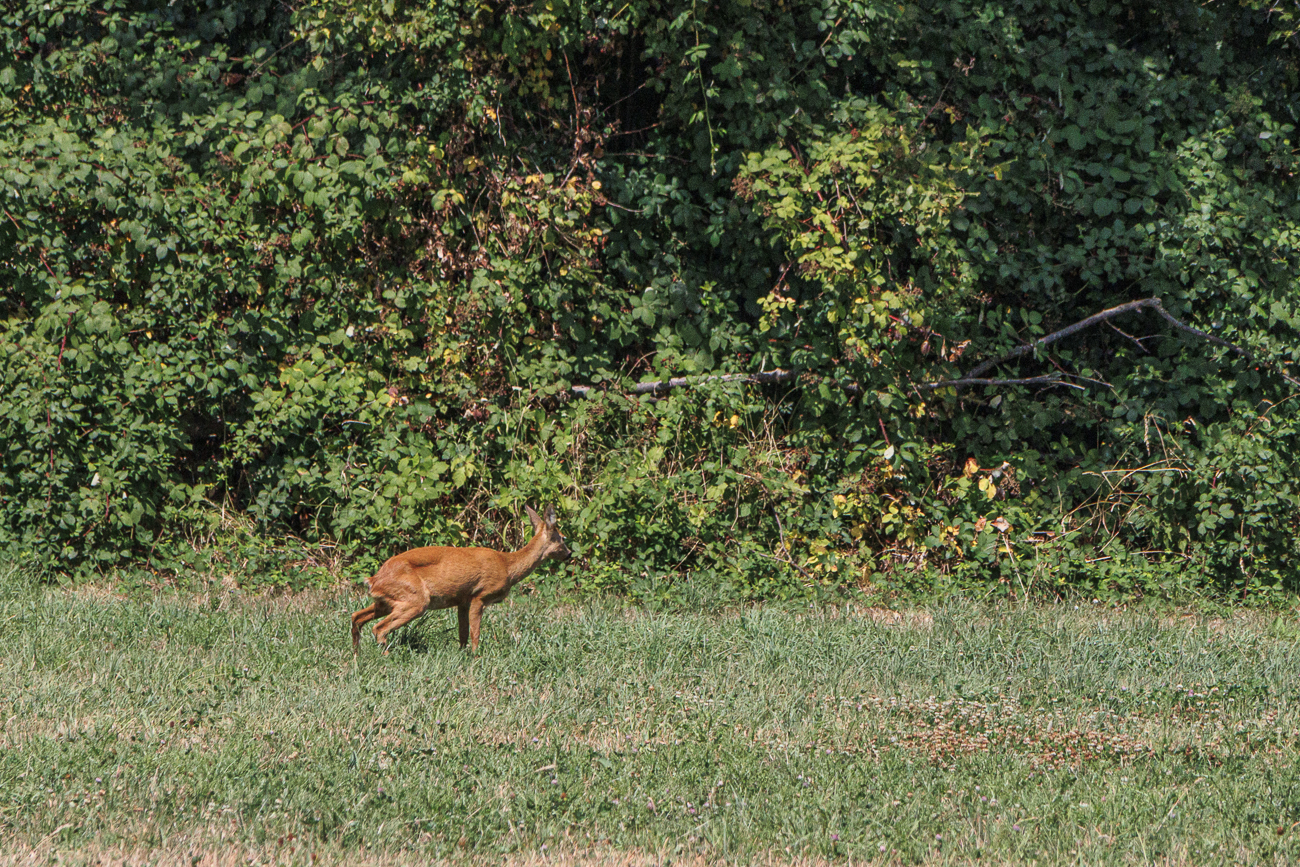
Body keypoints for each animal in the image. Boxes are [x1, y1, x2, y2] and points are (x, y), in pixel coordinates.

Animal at [351, 505, 570, 655]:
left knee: (357, 617)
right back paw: (388, 655)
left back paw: (357, 655)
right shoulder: (479, 595)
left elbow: (463, 633)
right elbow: (475, 633)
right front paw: (476, 657)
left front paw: (462, 654)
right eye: (562, 538)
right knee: (378, 628)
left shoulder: (462, 600)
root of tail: (374, 579)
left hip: (388, 600)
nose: (568, 554)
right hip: (416, 599)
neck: (507, 566)